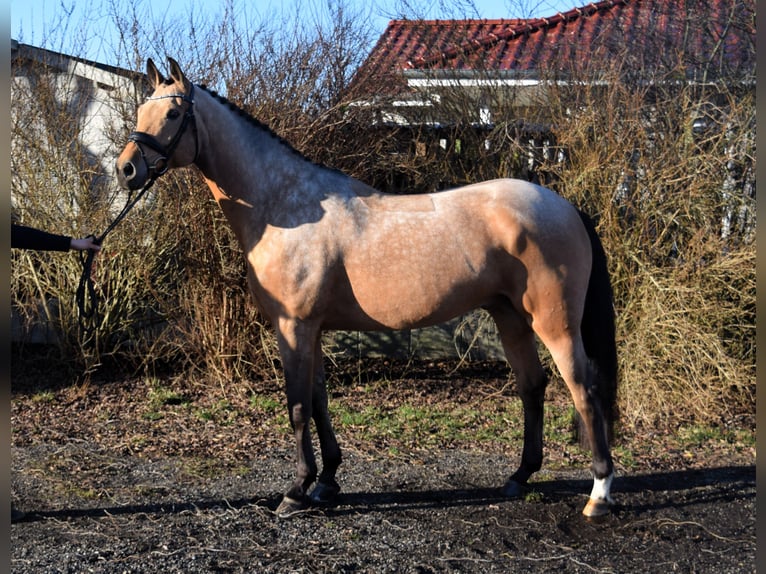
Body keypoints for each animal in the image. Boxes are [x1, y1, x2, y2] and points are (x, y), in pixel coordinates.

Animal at [115, 57, 616, 520]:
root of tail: (566, 207)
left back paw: (598, 494)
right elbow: (319, 402)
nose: (126, 169)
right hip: (510, 317)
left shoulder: (293, 327)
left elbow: (298, 406)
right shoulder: (311, 329)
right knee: (532, 385)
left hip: (555, 324)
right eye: (141, 110)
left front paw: (296, 492)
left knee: (583, 390)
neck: (285, 205)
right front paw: (327, 483)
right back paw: (519, 477)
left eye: (174, 114)